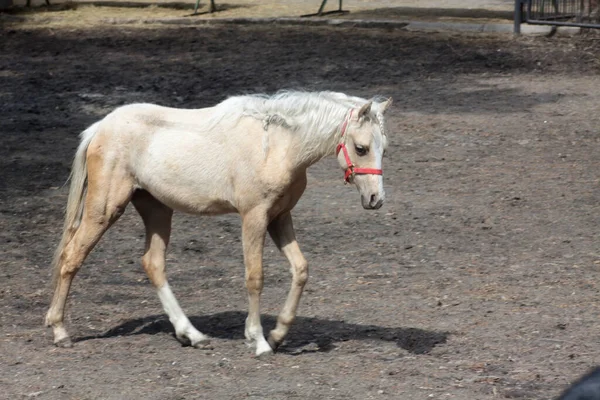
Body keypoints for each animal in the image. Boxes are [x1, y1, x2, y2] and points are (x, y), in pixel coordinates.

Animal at [47, 91, 394, 356]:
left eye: (384, 148)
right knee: (71, 257)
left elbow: (301, 269)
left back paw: (192, 335)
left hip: (157, 210)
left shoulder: (279, 217)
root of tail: (99, 128)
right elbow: (255, 277)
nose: (375, 198)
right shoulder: (254, 217)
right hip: (104, 210)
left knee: (152, 263)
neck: (276, 146)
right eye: (361, 148)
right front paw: (258, 341)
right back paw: (60, 331)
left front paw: (278, 334)